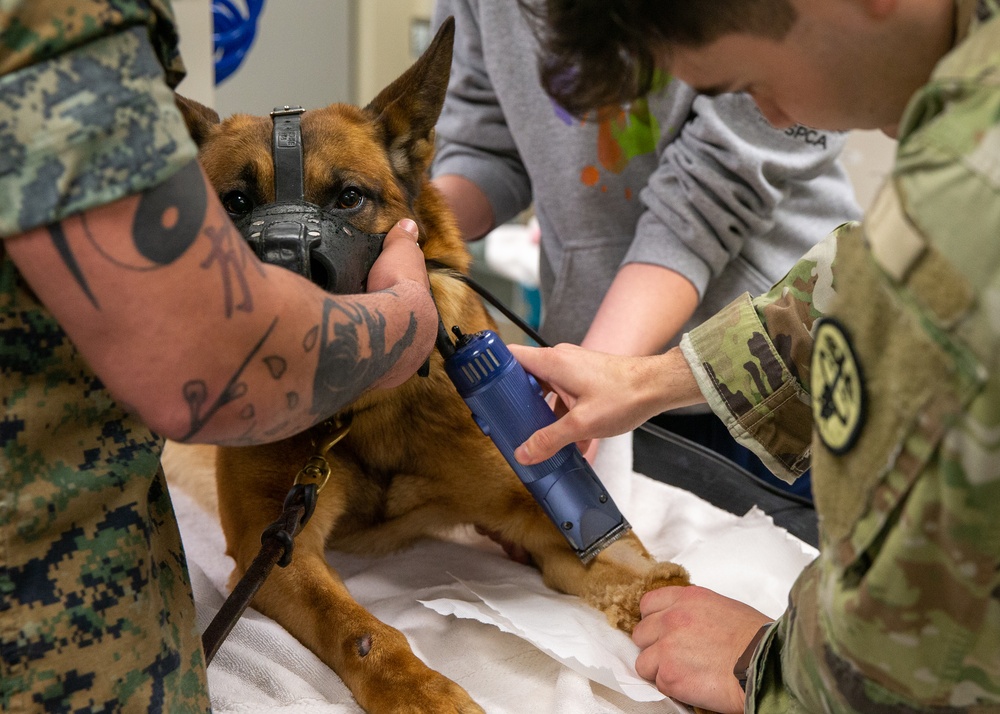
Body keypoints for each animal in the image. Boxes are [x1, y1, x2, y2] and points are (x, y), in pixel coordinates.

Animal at [176, 18, 688, 712]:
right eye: (233, 202)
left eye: (349, 198)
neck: (362, 413)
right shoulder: (273, 549)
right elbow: (361, 629)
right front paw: (422, 691)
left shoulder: (543, 516)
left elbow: (639, 576)